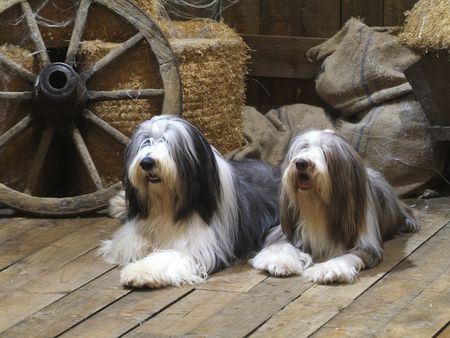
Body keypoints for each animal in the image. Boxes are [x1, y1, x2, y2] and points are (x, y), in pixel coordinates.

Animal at [99, 115, 282, 288]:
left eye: (168, 142)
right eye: (146, 140)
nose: (147, 162)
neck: (167, 204)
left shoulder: (198, 246)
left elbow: (168, 257)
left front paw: (138, 272)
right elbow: (128, 242)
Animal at [251, 131, 420, 284]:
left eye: (325, 151)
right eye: (303, 147)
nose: (301, 163)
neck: (317, 208)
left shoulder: (367, 243)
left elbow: (349, 255)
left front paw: (326, 270)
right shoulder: (286, 229)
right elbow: (279, 245)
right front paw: (279, 262)